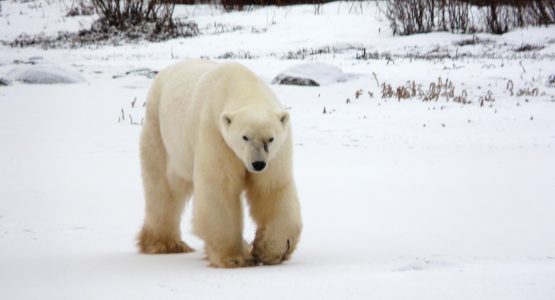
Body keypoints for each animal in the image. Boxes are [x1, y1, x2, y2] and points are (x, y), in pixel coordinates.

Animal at [139, 58, 304, 268]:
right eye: (245, 137)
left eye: (270, 139)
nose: (258, 164)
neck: (241, 84)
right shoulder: (215, 134)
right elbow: (220, 189)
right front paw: (236, 257)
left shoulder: (277, 153)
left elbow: (271, 188)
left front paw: (270, 250)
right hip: (160, 132)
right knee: (163, 188)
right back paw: (165, 244)